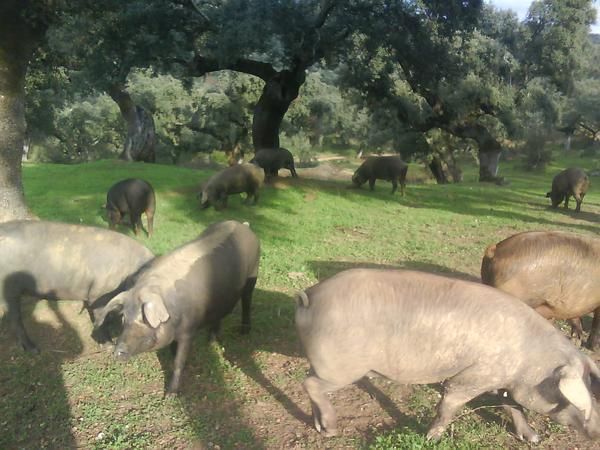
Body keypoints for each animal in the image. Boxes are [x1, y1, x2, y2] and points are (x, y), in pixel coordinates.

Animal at [0, 220, 155, 354]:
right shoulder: (98, 295)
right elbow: (101, 319)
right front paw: (108, 345)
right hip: (8, 290)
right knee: (15, 319)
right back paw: (34, 349)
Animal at [93, 221, 260, 394]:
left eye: (144, 318)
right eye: (124, 317)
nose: (117, 351)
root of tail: (243, 225)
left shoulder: (189, 330)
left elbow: (179, 362)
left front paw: (170, 394)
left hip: (253, 273)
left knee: (247, 302)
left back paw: (244, 331)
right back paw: (211, 341)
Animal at [296, 268, 600, 442]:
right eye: (570, 398)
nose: (596, 433)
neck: (530, 359)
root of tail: (309, 296)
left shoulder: (501, 381)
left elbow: (513, 406)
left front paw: (533, 439)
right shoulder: (473, 377)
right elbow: (448, 404)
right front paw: (431, 439)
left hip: (327, 365)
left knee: (311, 383)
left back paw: (320, 427)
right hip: (341, 367)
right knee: (309, 384)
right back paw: (332, 430)